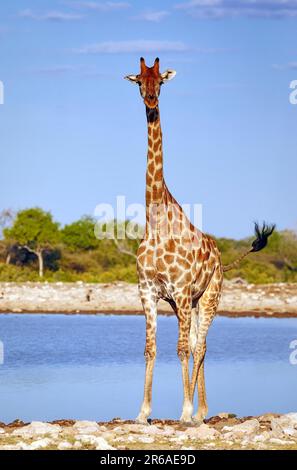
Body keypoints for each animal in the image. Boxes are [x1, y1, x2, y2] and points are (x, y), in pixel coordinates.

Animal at [123, 57, 274, 424]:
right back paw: (203, 409)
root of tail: (221, 258)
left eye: (161, 81)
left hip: (210, 296)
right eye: (139, 82)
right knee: (196, 344)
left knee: (200, 344)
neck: (156, 222)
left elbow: (180, 349)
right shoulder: (149, 292)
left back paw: (196, 411)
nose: (151, 100)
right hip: (187, 303)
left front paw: (184, 411)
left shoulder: (178, 290)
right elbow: (151, 348)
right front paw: (143, 412)